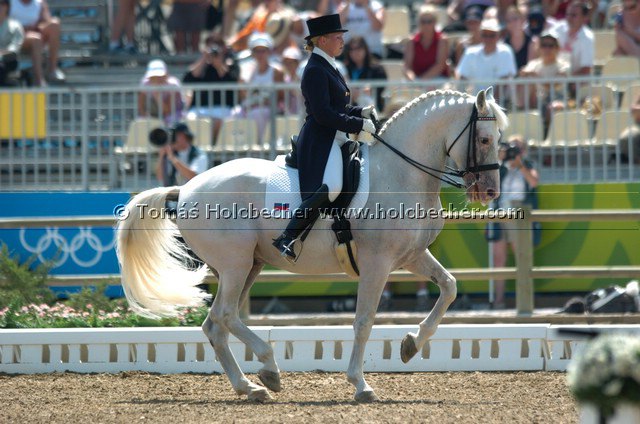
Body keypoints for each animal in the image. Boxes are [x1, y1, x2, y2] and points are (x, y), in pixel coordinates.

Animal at [114, 88, 504, 400]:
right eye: (485, 139)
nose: (490, 192)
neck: (400, 173)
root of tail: (186, 190)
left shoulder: (411, 256)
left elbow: (449, 287)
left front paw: (411, 344)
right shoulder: (377, 264)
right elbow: (364, 321)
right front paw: (361, 385)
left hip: (248, 266)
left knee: (216, 324)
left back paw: (250, 387)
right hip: (235, 265)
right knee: (225, 316)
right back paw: (269, 367)